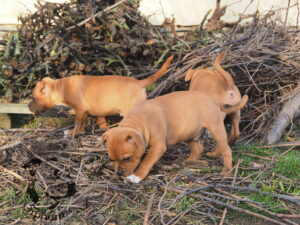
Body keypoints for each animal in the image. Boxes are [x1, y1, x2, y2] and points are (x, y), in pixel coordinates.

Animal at [28, 55, 173, 137]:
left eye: (33, 98)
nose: (28, 106)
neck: (61, 87)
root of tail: (139, 82)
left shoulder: (80, 110)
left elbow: (78, 123)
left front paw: (73, 133)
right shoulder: (97, 111)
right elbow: (100, 121)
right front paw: (103, 129)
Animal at [102, 90, 247, 182]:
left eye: (127, 158)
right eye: (111, 159)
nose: (119, 174)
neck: (138, 122)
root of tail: (214, 101)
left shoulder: (158, 147)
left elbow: (146, 162)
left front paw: (136, 177)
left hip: (215, 128)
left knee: (226, 149)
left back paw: (226, 170)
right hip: (189, 133)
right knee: (198, 149)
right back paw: (189, 161)